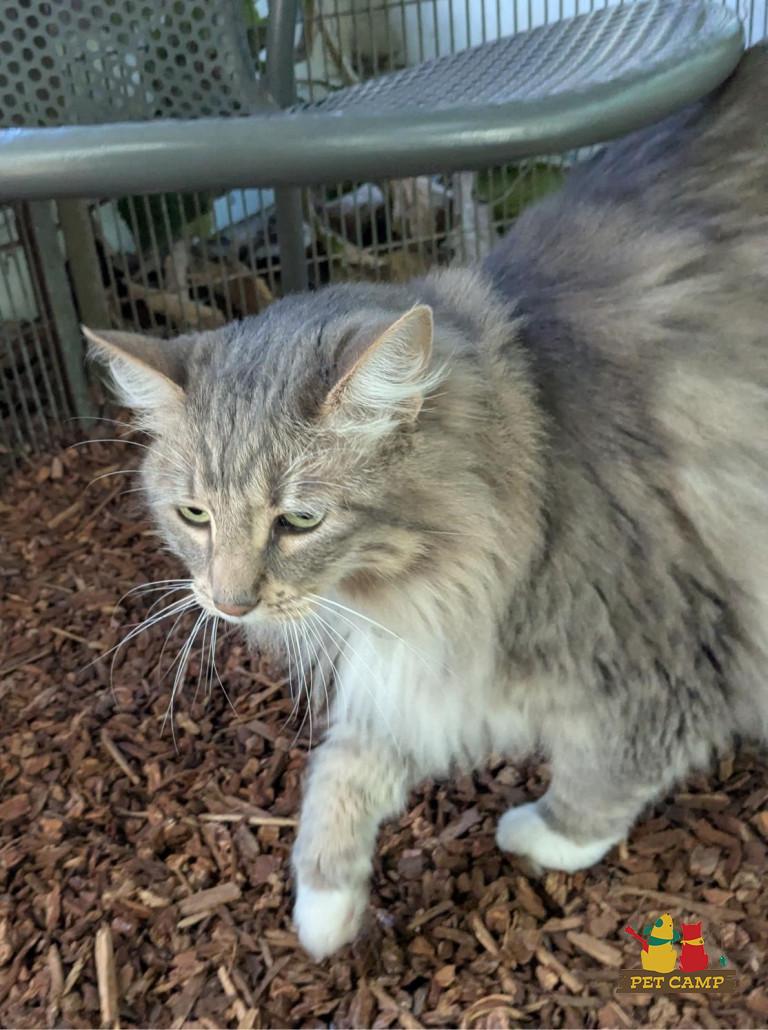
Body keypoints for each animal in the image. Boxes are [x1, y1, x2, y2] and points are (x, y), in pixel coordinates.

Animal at [86, 43, 768, 961]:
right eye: (195, 516)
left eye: (300, 521)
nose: (229, 605)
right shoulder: (408, 665)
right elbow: (342, 771)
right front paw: (325, 907)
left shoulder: (661, 651)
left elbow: (609, 774)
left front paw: (545, 835)